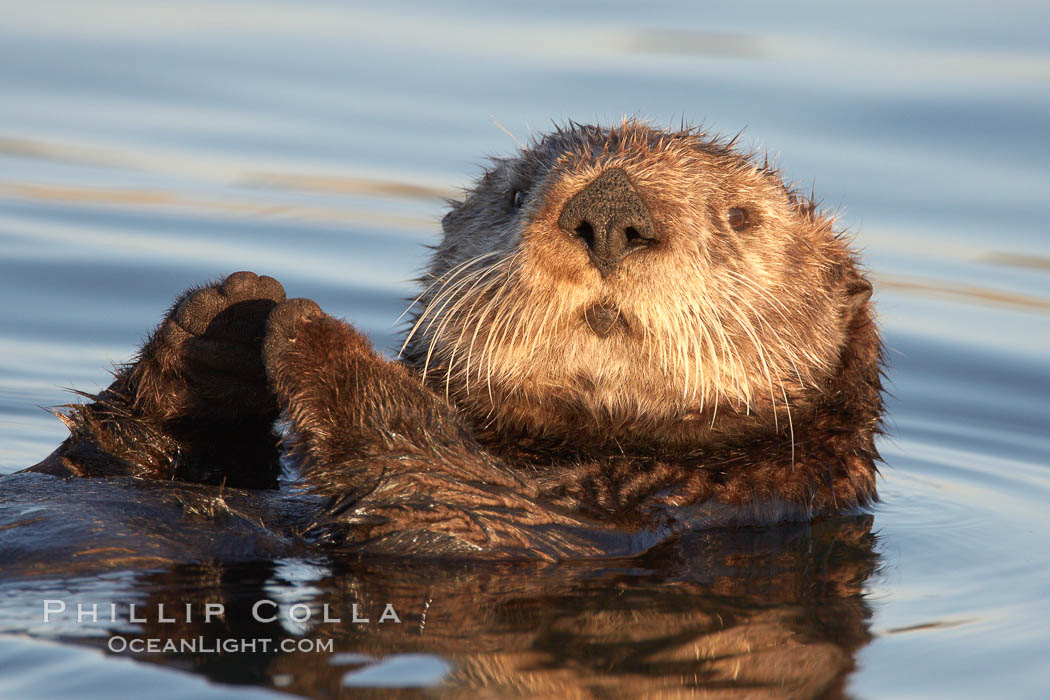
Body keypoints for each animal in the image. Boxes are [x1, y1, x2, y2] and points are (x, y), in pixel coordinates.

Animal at [20, 120, 881, 558]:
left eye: (741, 217)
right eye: (515, 194)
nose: (609, 213)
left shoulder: (638, 522)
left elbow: (443, 493)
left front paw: (314, 333)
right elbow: (103, 459)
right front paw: (225, 320)